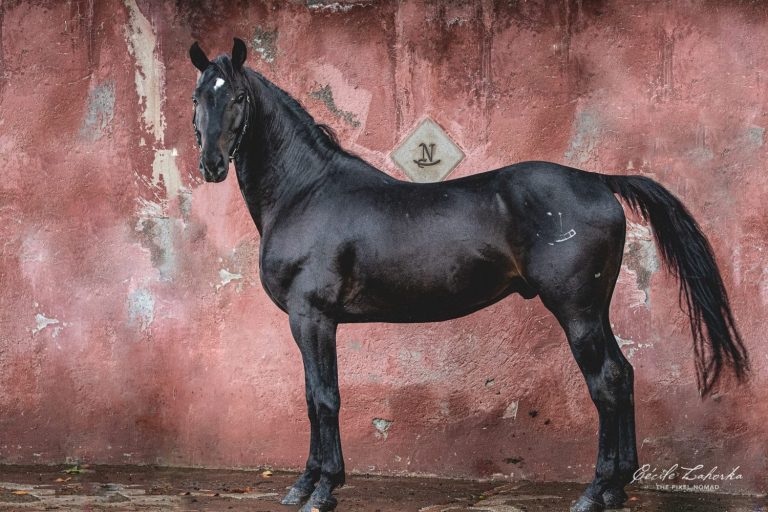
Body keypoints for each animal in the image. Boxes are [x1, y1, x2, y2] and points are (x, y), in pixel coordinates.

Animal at [188, 38, 749, 512]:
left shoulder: (313, 317)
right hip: (595, 309)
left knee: (606, 382)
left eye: (238, 96)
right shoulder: (309, 322)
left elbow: (325, 397)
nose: (212, 164)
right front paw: (303, 483)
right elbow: (309, 396)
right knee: (624, 375)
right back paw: (616, 487)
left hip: (577, 310)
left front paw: (323, 489)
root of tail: (596, 179)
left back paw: (594, 492)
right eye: (198, 96)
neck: (306, 192)